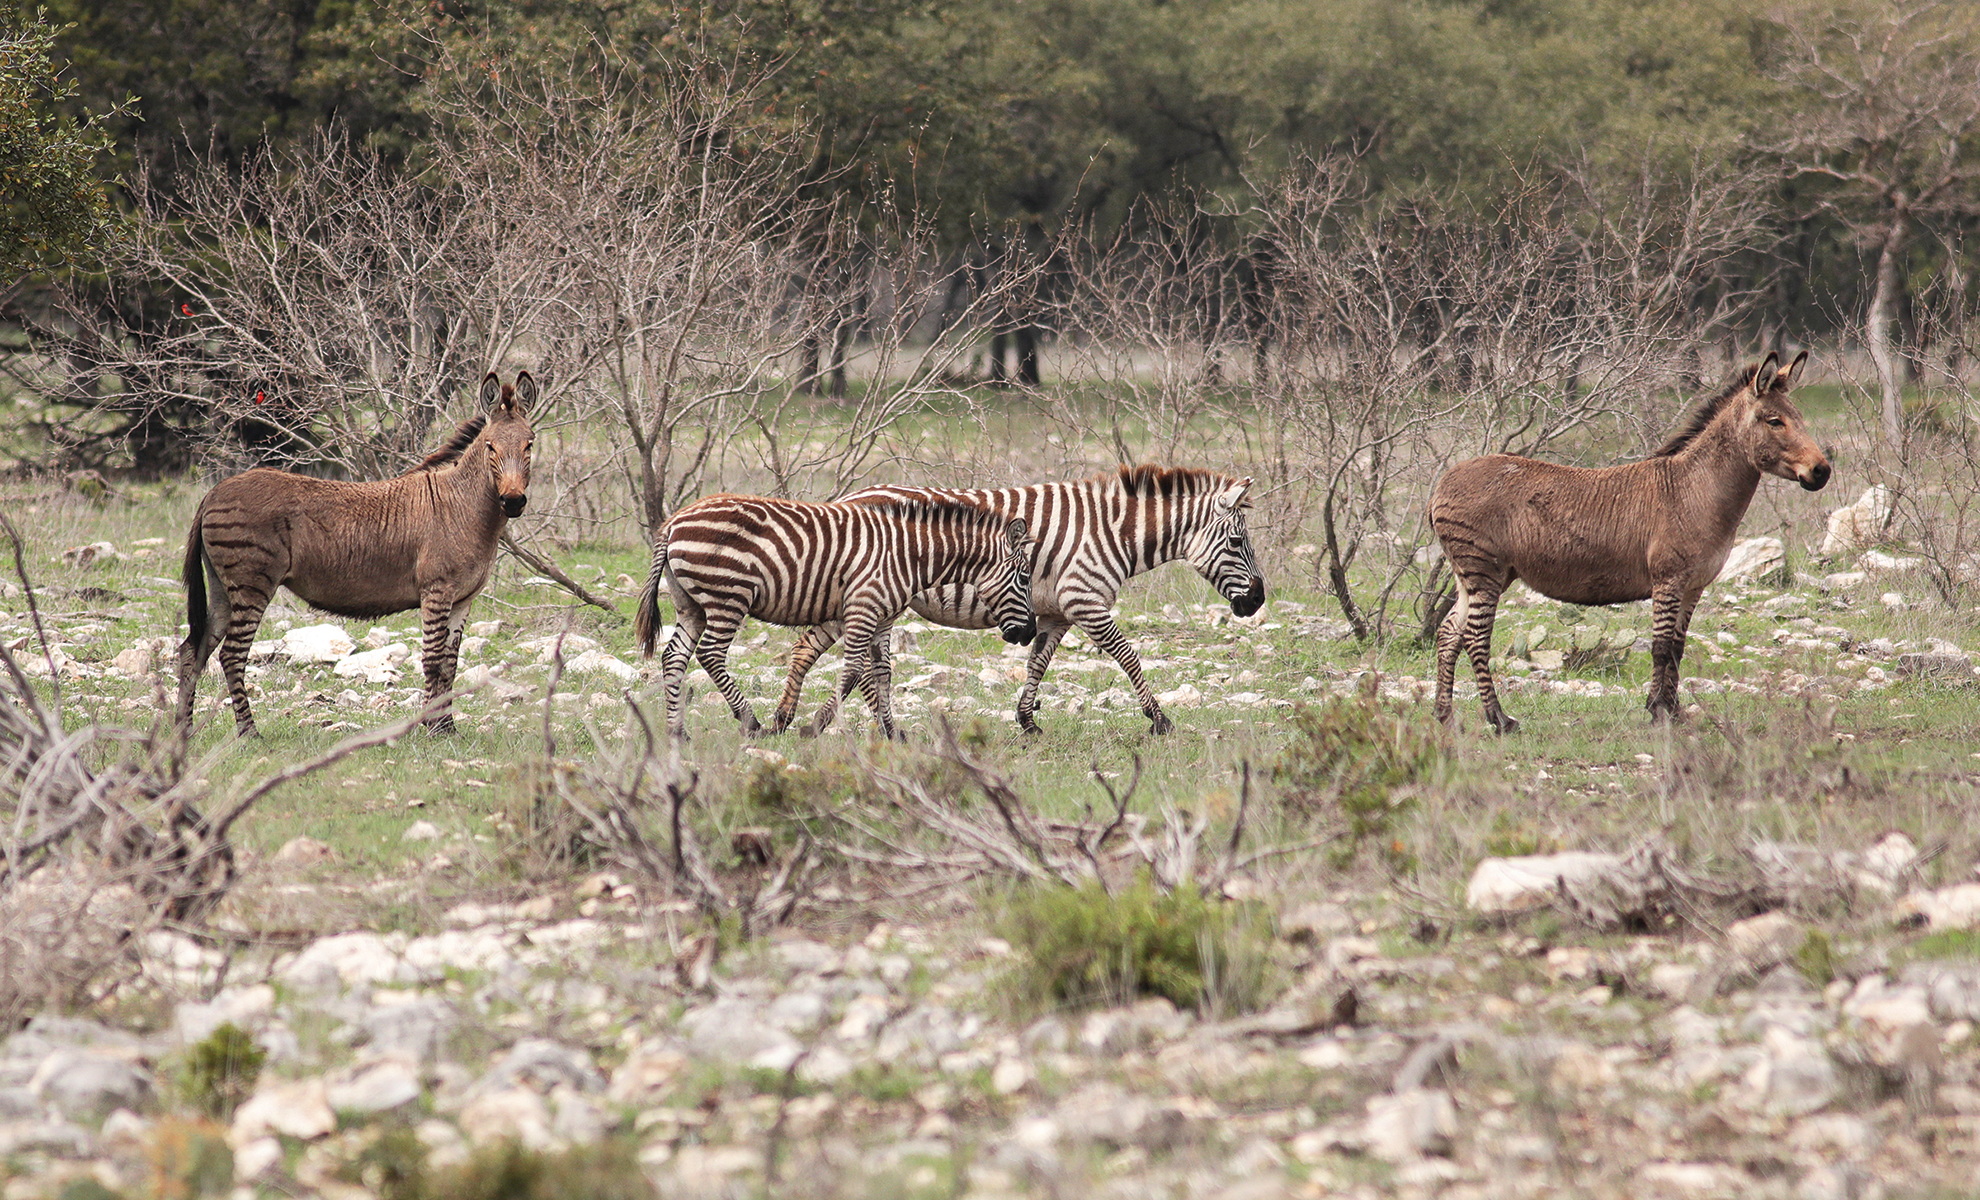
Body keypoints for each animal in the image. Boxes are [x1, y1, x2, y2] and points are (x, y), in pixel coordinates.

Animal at [637, 491, 1045, 736]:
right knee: (710, 654)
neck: (910, 555)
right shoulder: (864, 608)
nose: (1028, 633)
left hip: (691, 604)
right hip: (728, 596)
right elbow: (851, 673)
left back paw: (677, 732)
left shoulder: (883, 617)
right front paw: (815, 726)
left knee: (674, 656)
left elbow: (883, 674)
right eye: (1025, 577)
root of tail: (673, 522)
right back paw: (751, 722)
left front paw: (891, 732)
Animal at [772, 467, 1267, 732]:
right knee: (839, 659)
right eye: (1238, 542)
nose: (1259, 601)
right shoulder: (1084, 598)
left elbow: (1037, 663)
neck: (1114, 533)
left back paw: (787, 719)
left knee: (811, 648)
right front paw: (1158, 719)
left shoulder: (1055, 614)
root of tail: (850, 497)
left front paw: (1027, 721)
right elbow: (1128, 656)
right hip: (870, 597)